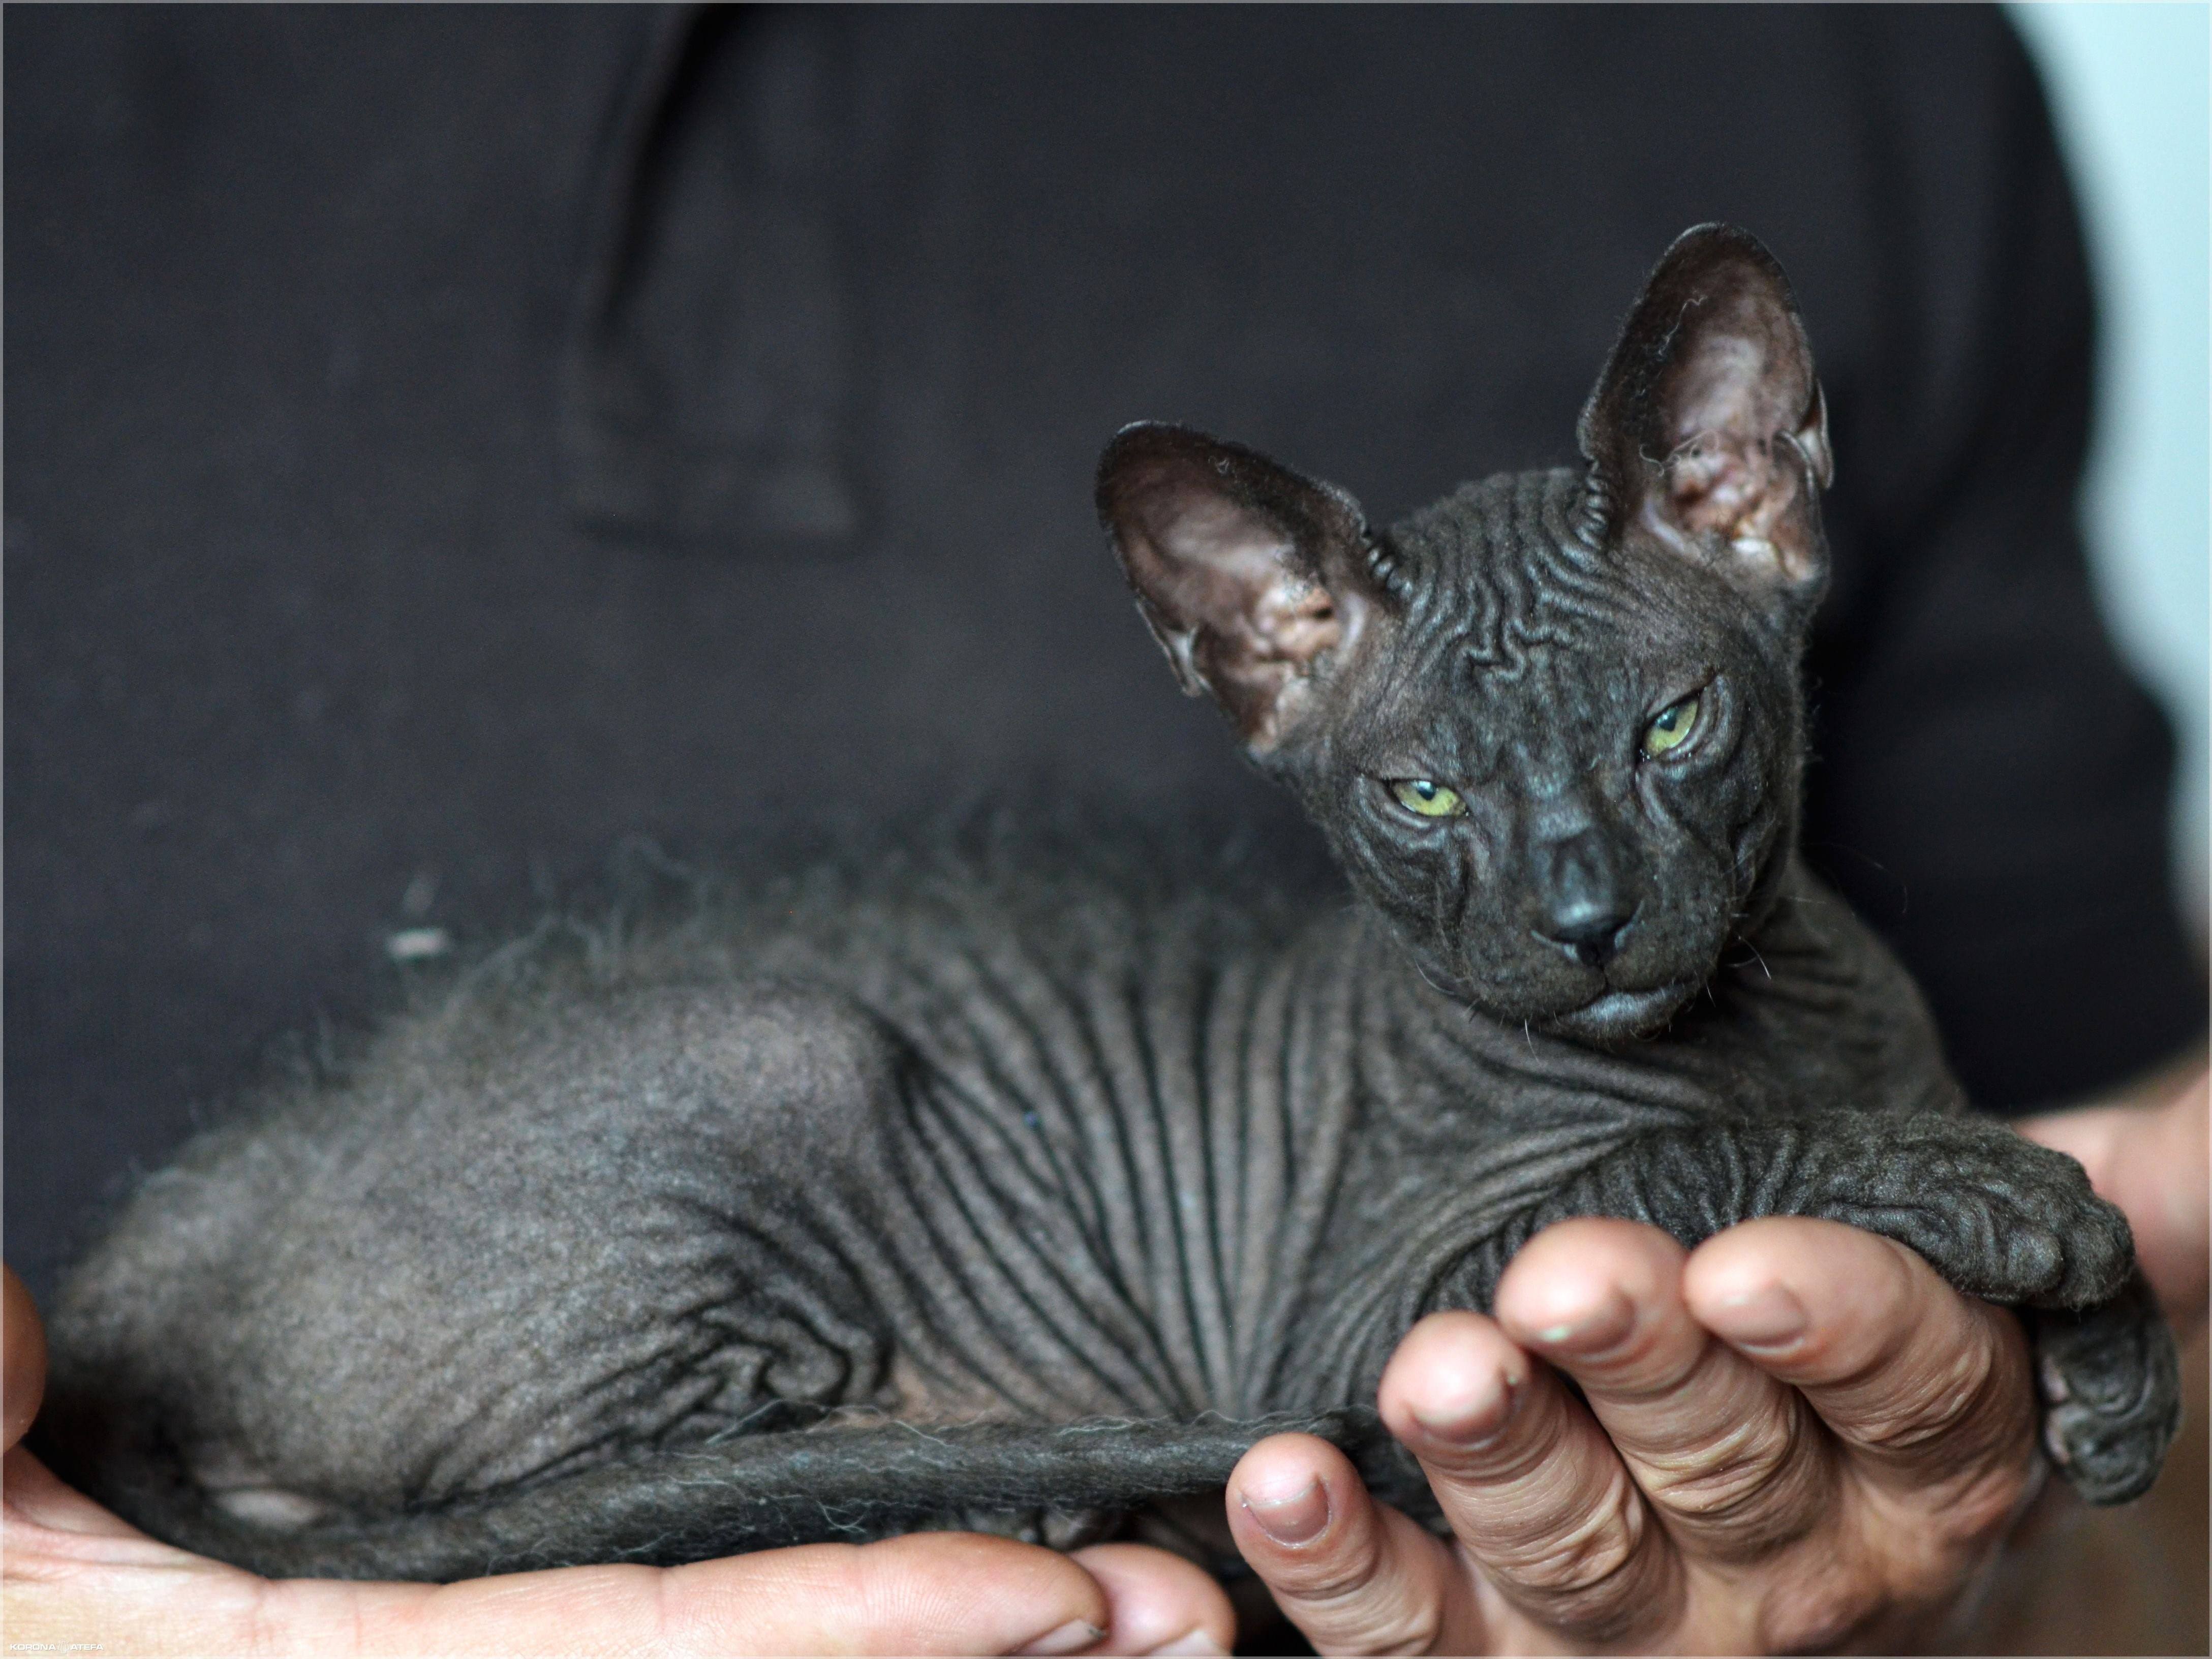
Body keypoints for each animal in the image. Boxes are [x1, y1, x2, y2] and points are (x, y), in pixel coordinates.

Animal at [43, 224, 2185, 1584]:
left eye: (1671, 724)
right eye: (1417, 793)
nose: (1583, 914)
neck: (1762, 1019)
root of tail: (127, 1266)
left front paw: (2112, 1376)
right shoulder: (1372, 1313)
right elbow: (1695, 1159)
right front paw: (1983, 1193)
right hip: (786, 1047)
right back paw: (976, 1495)